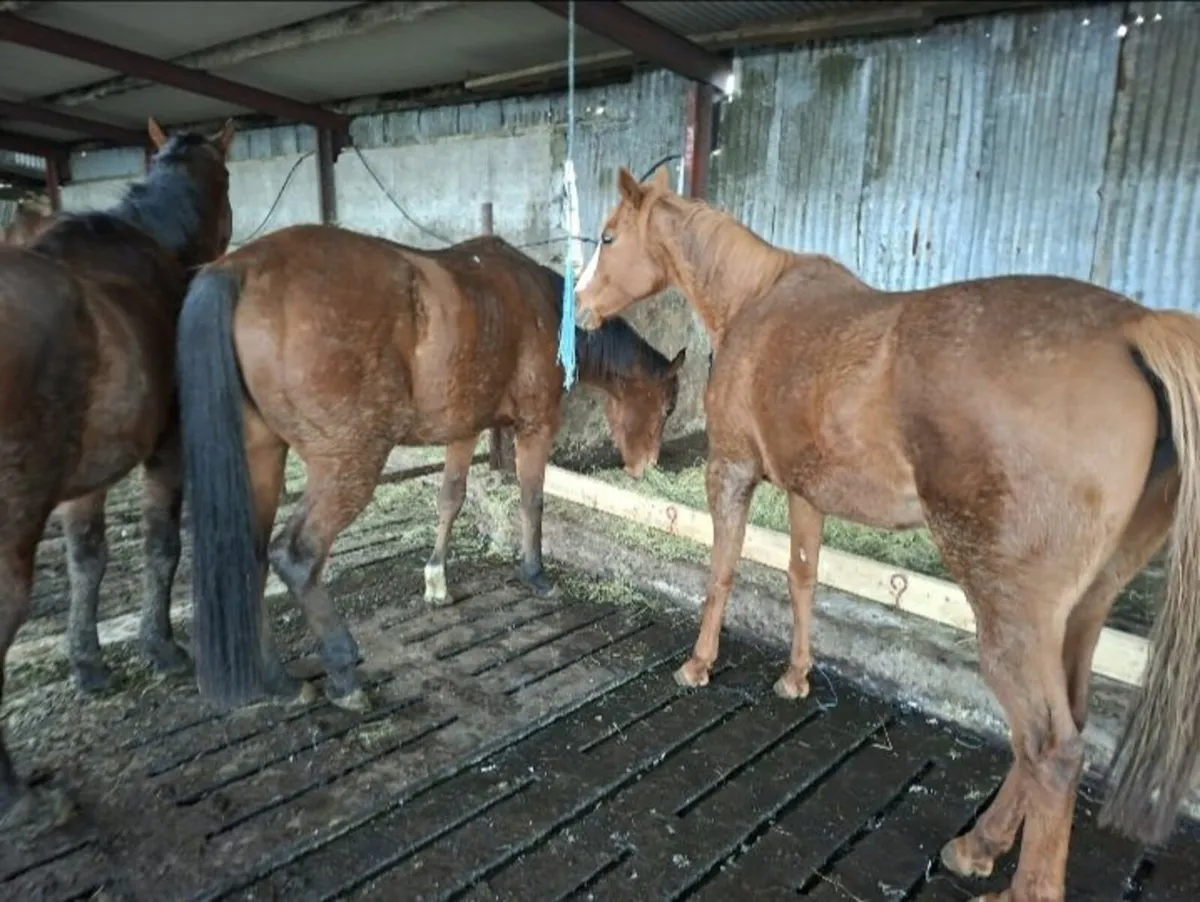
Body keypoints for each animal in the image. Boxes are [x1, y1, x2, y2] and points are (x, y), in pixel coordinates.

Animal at [0, 117, 234, 831]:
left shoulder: (87, 482)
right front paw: (161, 648)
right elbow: (161, 547)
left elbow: (88, 561)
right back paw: (22, 799)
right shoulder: (167, 447)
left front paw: (89, 663)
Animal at [174, 223, 685, 714]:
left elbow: (450, 499)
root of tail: (238, 270)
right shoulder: (535, 426)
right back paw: (343, 673)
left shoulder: (464, 430)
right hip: (348, 465)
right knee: (296, 558)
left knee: (253, 560)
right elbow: (531, 499)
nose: (646, 467)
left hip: (261, 459)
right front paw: (535, 573)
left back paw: (279, 683)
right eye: (667, 407)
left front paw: (437, 578)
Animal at [574, 166, 1200, 902]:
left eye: (608, 236)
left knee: (1052, 747)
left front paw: (699, 665)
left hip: (1012, 615)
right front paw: (797, 676)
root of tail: (1137, 332)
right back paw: (981, 844)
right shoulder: (806, 492)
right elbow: (803, 577)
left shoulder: (731, 469)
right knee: (1063, 724)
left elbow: (722, 571)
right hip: (1086, 606)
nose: (580, 305)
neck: (758, 298)